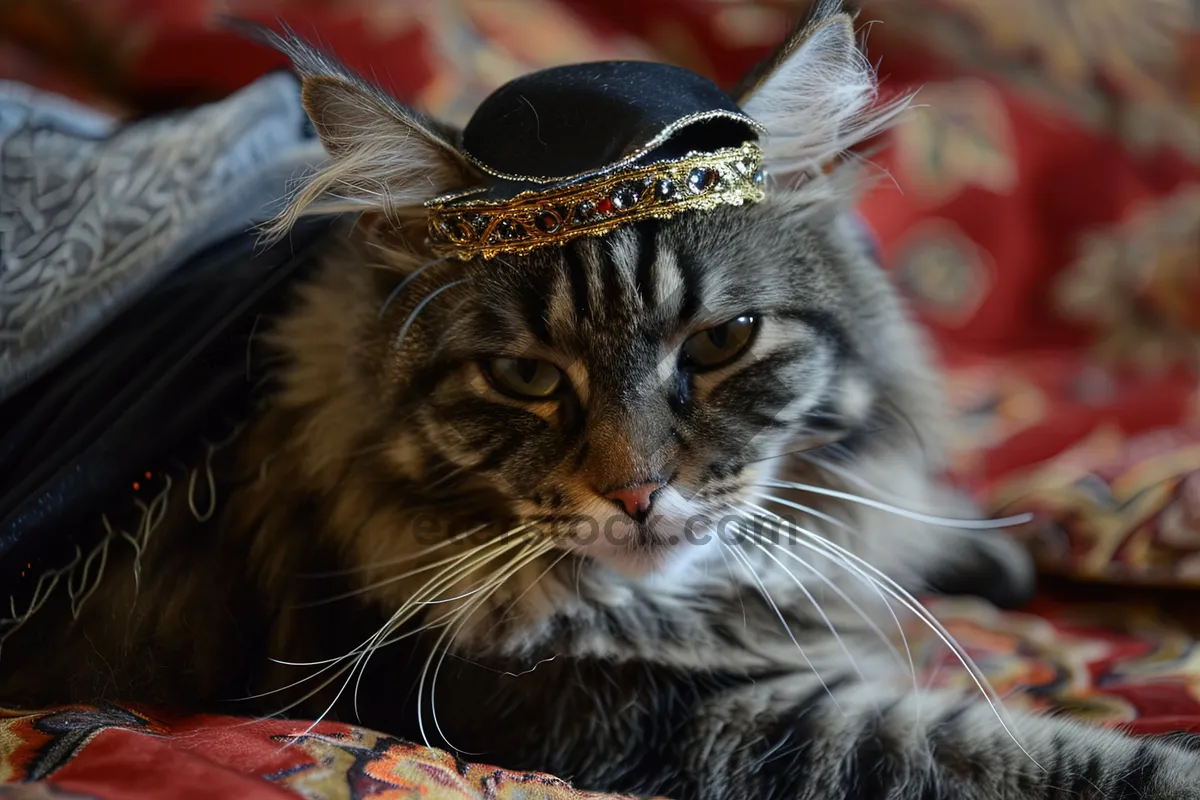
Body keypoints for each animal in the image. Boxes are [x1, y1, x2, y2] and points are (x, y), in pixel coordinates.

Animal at [2, 1, 1200, 800]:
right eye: (527, 377)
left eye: (721, 341)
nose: (636, 493)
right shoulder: (671, 716)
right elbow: (1023, 753)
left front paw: (963, 544)